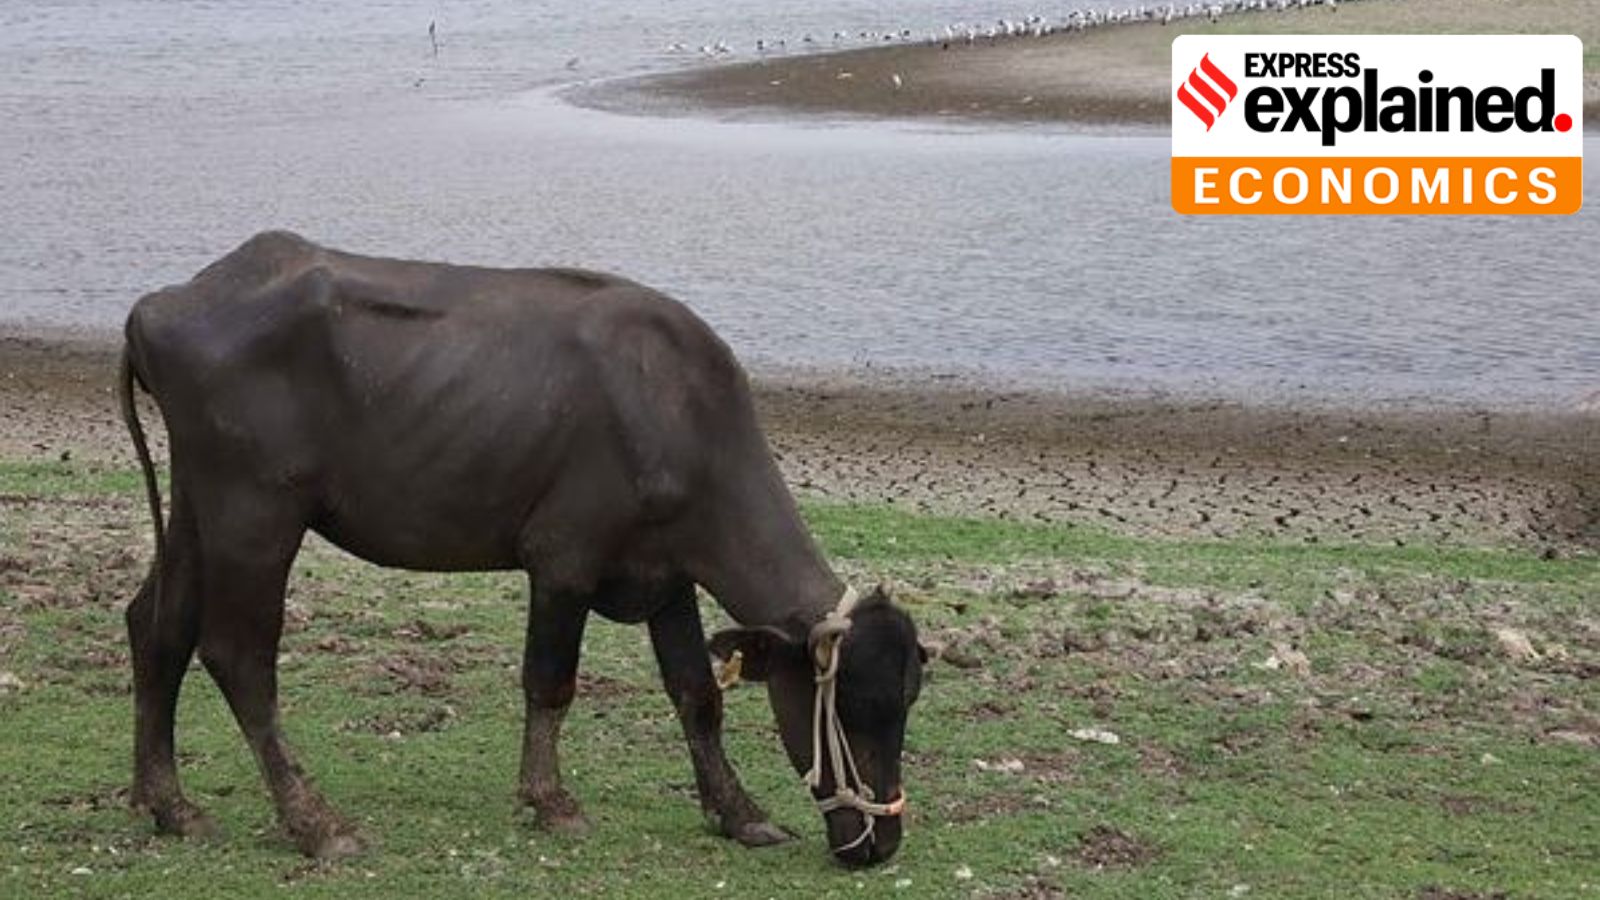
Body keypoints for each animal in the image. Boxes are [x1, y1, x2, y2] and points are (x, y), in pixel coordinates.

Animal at [119, 231, 924, 867]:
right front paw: (551, 801)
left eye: (907, 700)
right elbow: (550, 683)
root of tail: (162, 303)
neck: (681, 418)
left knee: (157, 628)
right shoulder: (563, 557)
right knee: (238, 657)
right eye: (855, 706)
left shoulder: (666, 576)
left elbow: (697, 695)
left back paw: (171, 807)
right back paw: (314, 823)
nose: (882, 844)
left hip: (198, 503)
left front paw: (740, 813)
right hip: (256, 512)